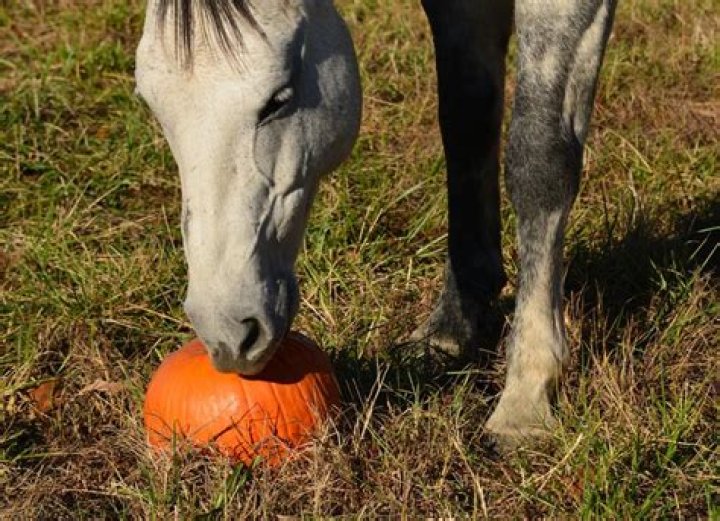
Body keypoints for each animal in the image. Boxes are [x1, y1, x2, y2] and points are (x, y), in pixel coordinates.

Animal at [135, 0, 617, 444]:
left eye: (279, 99)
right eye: (151, 104)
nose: (228, 334)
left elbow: (538, 162)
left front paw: (526, 400)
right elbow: (466, 125)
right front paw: (450, 331)